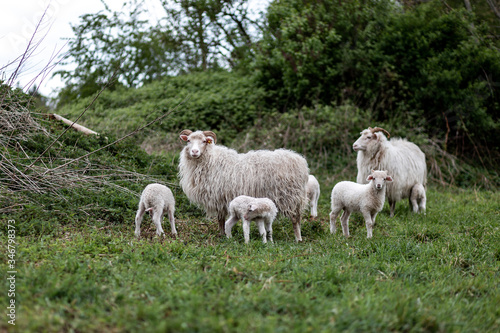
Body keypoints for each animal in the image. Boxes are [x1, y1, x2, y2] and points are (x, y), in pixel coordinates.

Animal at [176, 128, 308, 240]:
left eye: (204, 141)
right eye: (188, 141)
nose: (194, 151)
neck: (210, 159)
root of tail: (300, 162)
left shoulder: (218, 197)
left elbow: (220, 219)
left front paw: (221, 235)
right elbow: (221, 219)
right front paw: (222, 234)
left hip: (288, 196)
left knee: (294, 219)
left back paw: (298, 239)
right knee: (298, 218)